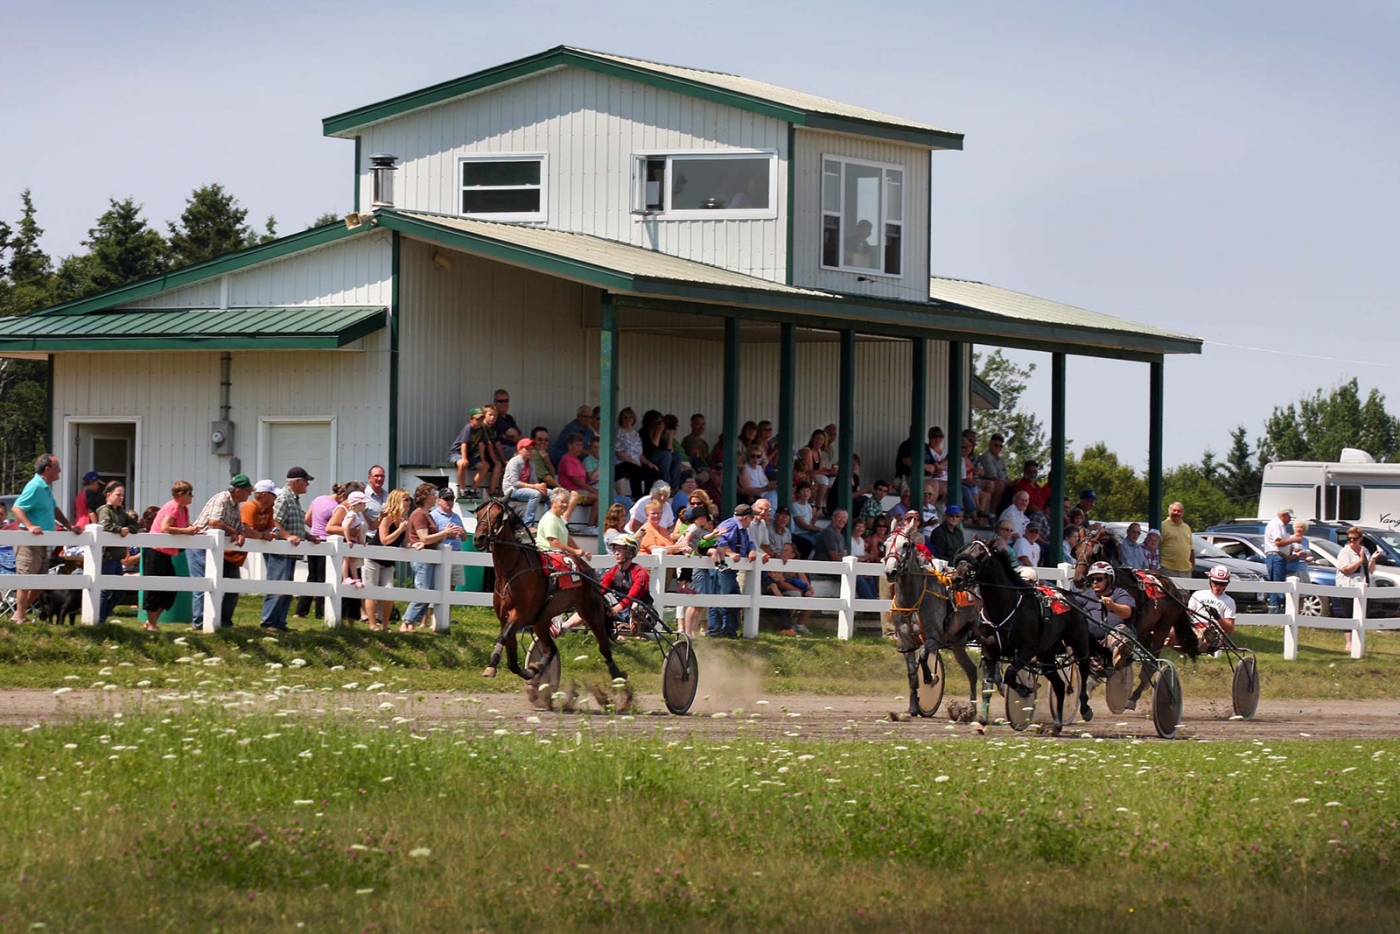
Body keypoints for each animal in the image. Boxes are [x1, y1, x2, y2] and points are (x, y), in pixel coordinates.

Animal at [473, 504, 627, 686]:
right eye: (478, 515)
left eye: (497, 515)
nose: (479, 538)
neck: (510, 572)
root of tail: (588, 571)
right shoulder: (504, 617)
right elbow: (511, 660)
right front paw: (529, 671)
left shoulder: (519, 615)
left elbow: (503, 637)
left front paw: (491, 666)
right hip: (541, 620)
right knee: (550, 648)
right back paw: (537, 671)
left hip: (591, 610)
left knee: (604, 646)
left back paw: (617, 674)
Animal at [1069, 526, 1204, 708]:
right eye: (1076, 552)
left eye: (1094, 553)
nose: (1079, 580)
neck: (1116, 582)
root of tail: (1173, 589)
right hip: (1145, 633)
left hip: (1162, 627)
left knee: (1152, 663)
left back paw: (1134, 696)